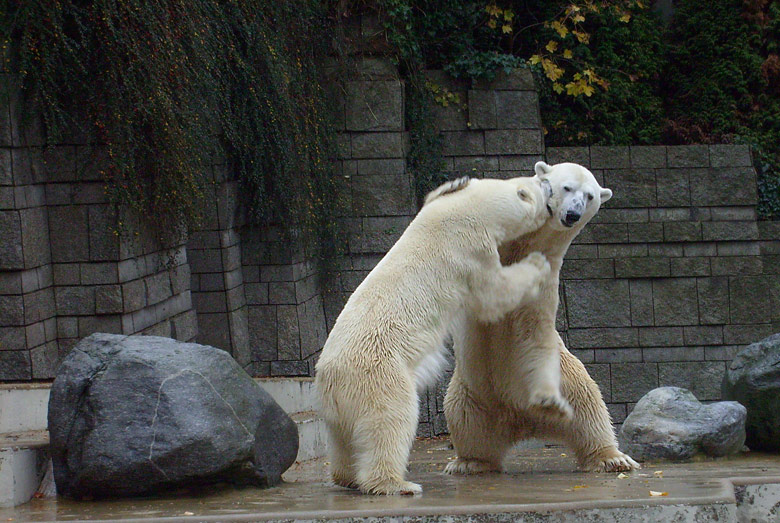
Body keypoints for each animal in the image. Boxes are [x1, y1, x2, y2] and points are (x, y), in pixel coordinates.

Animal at [314, 175, 552, 496]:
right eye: (539, 186)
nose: (547, 181)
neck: (468, 211)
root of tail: (330, 380)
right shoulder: (471, 252)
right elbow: (494, 294)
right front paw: (537, 263)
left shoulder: (434, 212)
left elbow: (433, 196)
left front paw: (454, 182)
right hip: (380, 378)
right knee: (390, 424)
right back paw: (396, 483)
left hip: (337, 408)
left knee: (342, 439)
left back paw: (346, 477)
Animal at [444, 163, 640, 474]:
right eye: (567, 187)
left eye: (590, 196)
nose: (572, 214)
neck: (522, 246)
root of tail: (521, 421)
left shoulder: (543, 282)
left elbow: (532, 329)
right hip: (469, 394)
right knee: (467, 424)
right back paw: (470, 462)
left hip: (567, 377)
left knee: (588, 409)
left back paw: (611, 457)